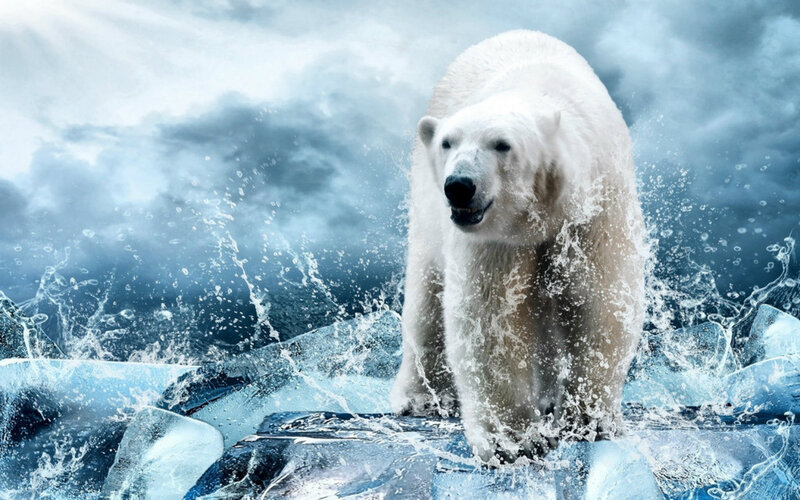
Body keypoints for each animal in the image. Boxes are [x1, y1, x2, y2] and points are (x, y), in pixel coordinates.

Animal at [390, 30, 646, 465]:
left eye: (501, 144)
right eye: (447, 142)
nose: (460, 186)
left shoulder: (596, 207)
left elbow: (601, 300)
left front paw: (588, 421)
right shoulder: (495, 238)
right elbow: (491, 316)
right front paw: (514, 440)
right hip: (426, 211)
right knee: (427, 301)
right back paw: (422, 397)